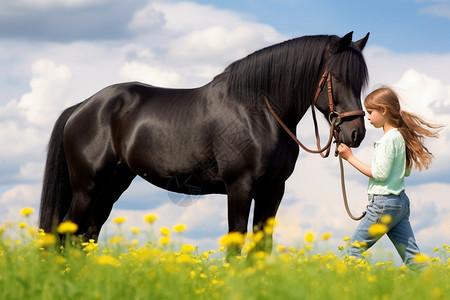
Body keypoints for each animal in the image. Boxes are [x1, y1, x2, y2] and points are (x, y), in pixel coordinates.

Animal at [38, 31, 370, 246]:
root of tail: (82, 106)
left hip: (114, 183)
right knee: (65, 232)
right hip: (86, 186)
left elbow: (261, 247)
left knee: (88, 232)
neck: (257, 111)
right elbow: (237, 243)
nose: (356, 133)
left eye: (360, 82)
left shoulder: (273, 190)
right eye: (337, 77)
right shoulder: (240, 187)